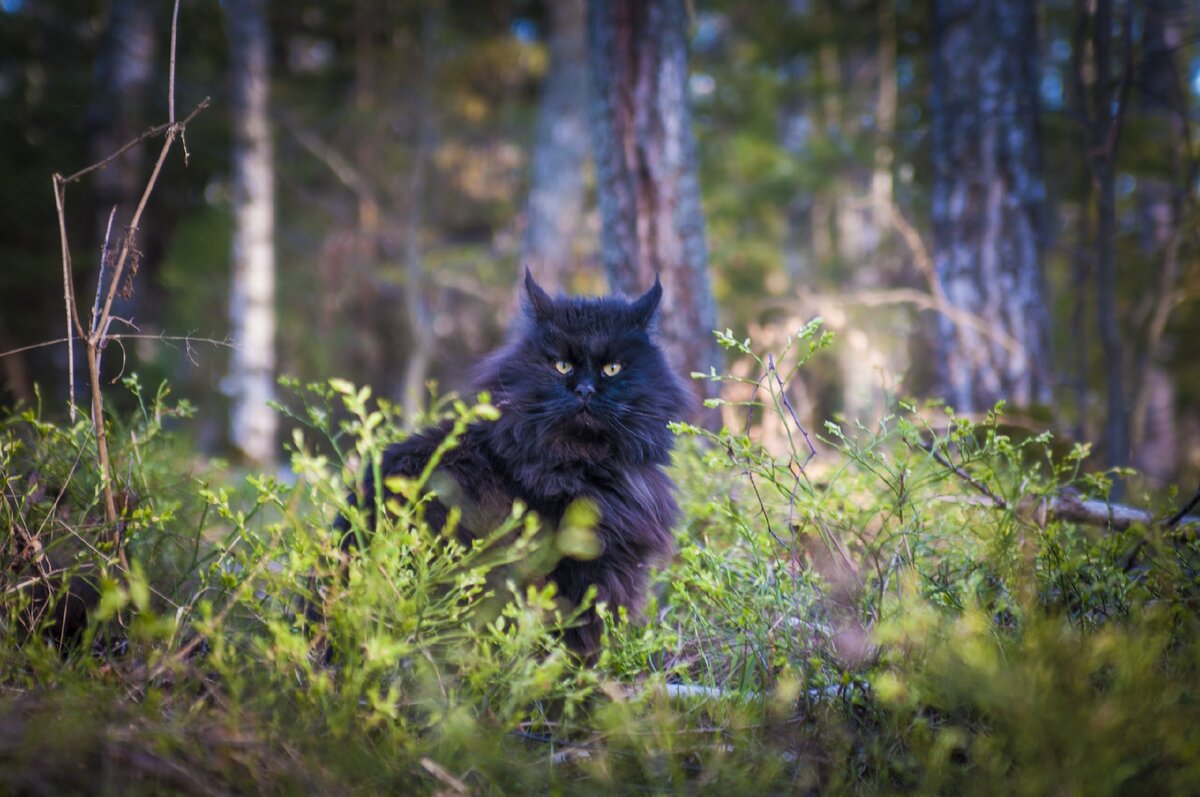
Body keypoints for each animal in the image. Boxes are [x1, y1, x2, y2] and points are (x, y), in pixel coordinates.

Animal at [338, 271, 696, 657]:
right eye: (562, 365)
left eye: (612, 368)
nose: (584, 390)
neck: (584, 463)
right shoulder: (580, 566)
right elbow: (581, 630)